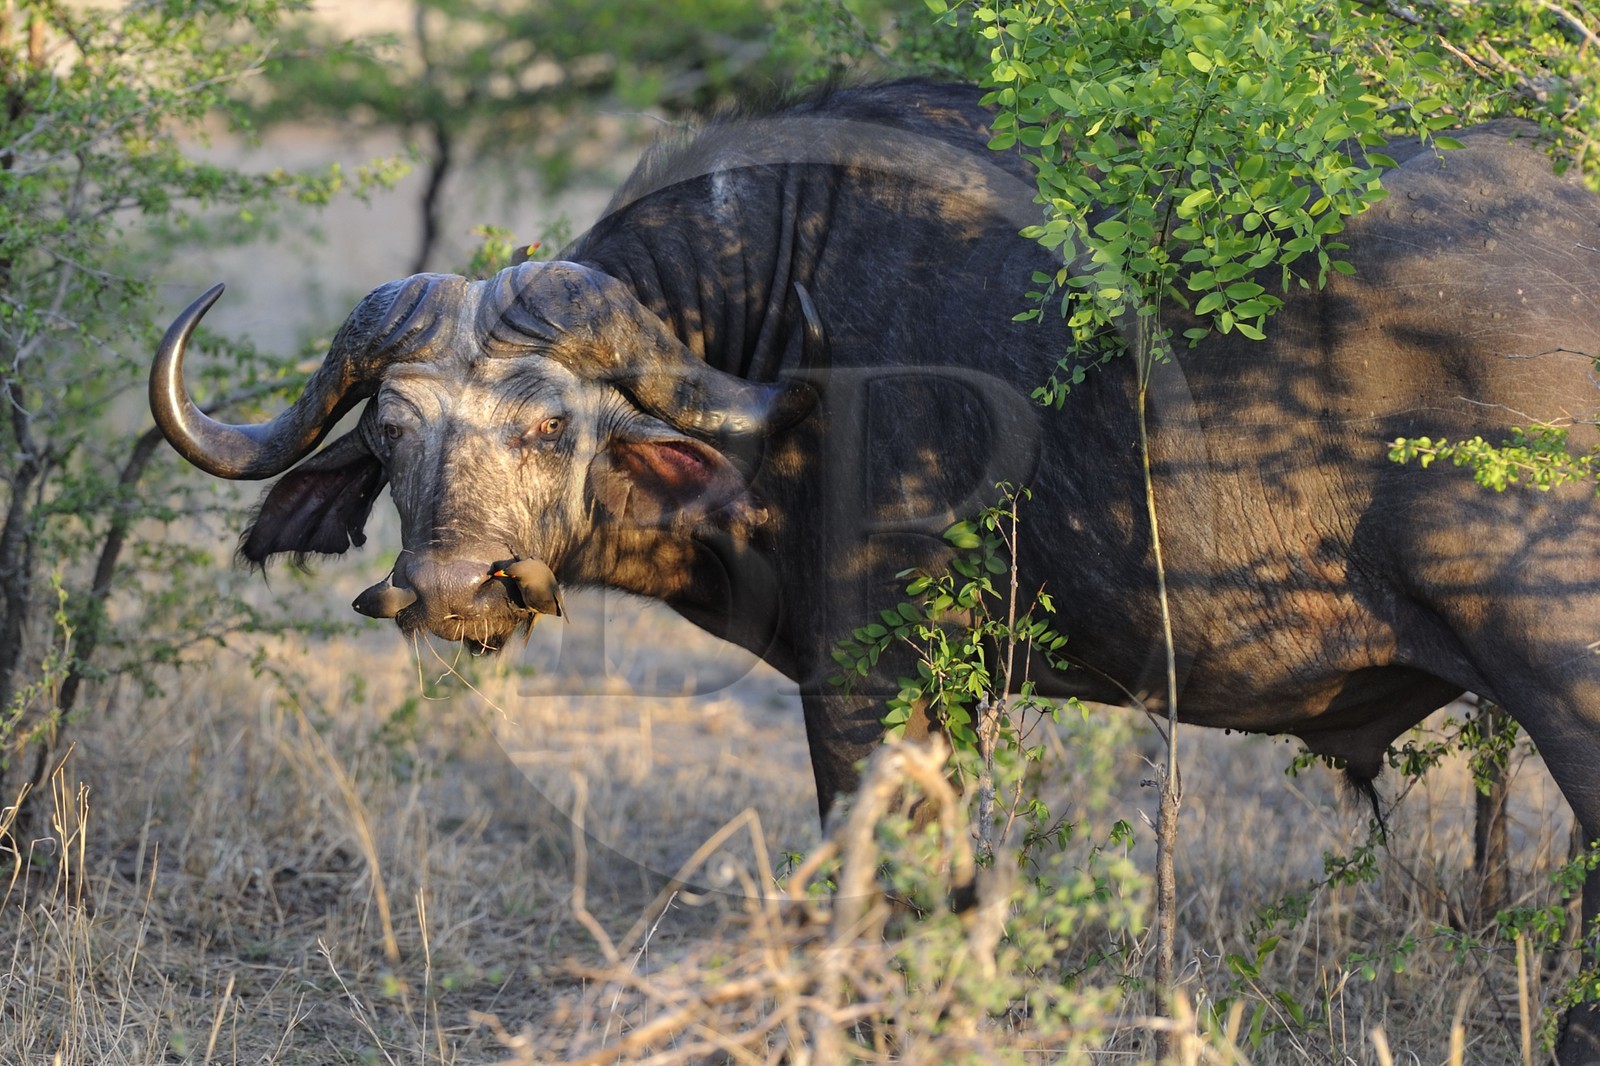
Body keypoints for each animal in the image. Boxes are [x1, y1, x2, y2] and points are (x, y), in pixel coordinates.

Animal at [150, 81, 1600, 1059]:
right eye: (393, 432)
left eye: (553, 425)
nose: (456, 588)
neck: (783, 326)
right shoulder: (944, 702)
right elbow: (950, 897)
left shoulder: (861, 686)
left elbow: (887, 893)